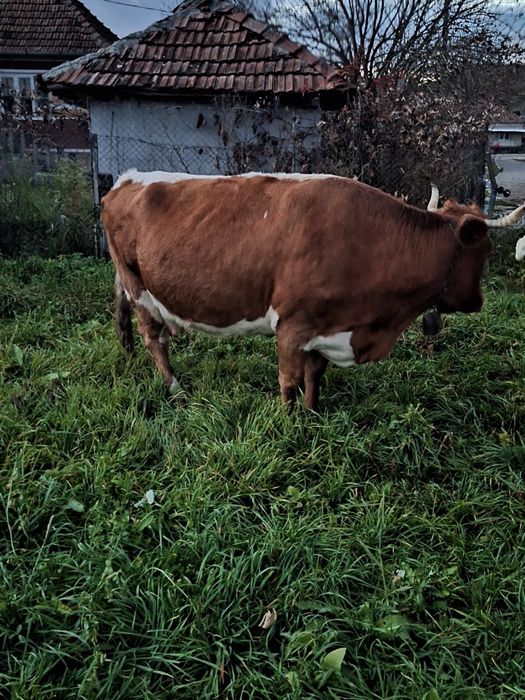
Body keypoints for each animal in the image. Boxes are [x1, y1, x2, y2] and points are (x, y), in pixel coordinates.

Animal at [101, 170, 517, 411]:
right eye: (487, 251)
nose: (478, 301)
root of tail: (127, 179)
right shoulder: (292, 325)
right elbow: (290, 381)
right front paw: (288, 423)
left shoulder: (327, 325)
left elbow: (315, 375)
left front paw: (312, 413)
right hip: (138, 286)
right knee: (153, 337)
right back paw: (174, 387)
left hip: (127, 280)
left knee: (122, 316)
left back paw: (129, 356)